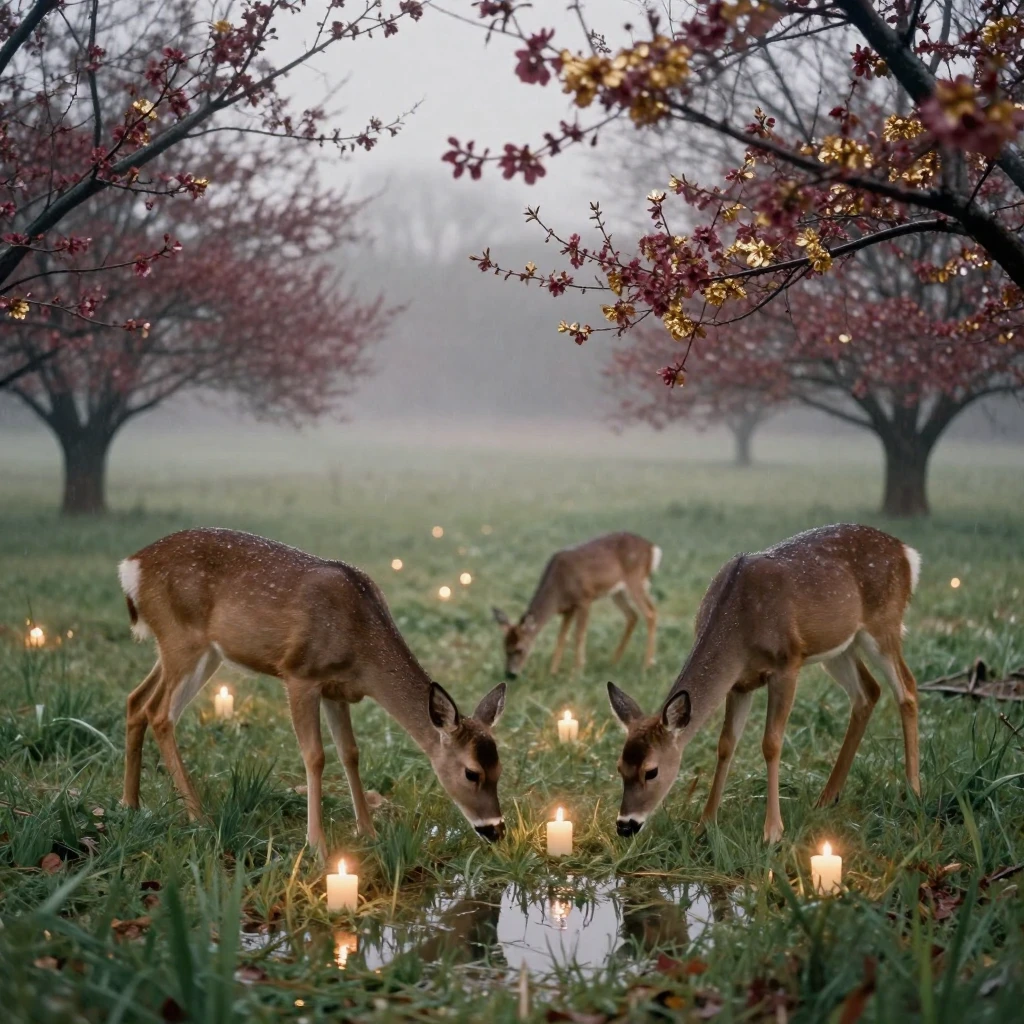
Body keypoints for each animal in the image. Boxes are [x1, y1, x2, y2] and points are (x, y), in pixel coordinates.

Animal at [118, 528, 508, 858]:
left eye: (500, 768)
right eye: (472, 773)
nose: (496, 829)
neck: (361, 645)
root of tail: (131, 566)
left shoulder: (338, 689)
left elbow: (350, 752)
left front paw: (368, 832)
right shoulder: (299, 674)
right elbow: (315, 755)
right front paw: (317, 845)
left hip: (195, 650)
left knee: (136, 699)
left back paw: (130, 804)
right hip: (182, 639)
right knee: (160, 713)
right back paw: (198, 816)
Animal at [492, 531, 660, 680]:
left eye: (519, 649)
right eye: (504, 648)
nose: (510, 674)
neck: (557, 589)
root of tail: (652, 547)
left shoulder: (584, 599)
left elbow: (579, 635)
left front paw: (577, 672)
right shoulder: (568, 608)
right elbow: (562, 637)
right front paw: (553, 672)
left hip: (635, 580)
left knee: (650, 612)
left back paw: (647, 665)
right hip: (618, 591)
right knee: (633, 615)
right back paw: (613, 662)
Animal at [607, 524, 921, 844]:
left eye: (652, 771)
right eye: (619, 767)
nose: (625, 825)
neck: (740, 625)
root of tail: (907, 552)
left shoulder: (787, 664)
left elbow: (771, 742)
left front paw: (772, 832)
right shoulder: (738, 683)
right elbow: (726, 744)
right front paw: (704, 825)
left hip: (883, 623)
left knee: (907, 688)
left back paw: (913, 792)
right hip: (838, 647)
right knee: (868, 691)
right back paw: (826, 798)